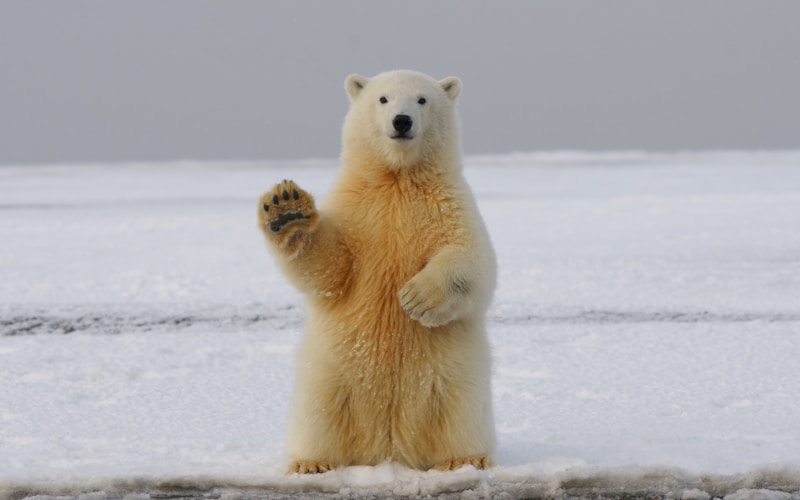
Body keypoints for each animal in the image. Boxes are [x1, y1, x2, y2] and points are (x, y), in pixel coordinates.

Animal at [257, 70, 496, 474]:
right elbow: (331, 269)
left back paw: (466, 459)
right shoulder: (357, 209)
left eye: (422, 99)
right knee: (318, 414)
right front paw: (286, 209)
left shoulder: (450, 205)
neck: (397, 178)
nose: (402, 121)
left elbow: (473, 260)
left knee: (460, 413)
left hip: (455, 377)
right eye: (383, 99)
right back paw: (311, 463)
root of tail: (388, 449)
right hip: (329, 373)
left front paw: (416, 298)